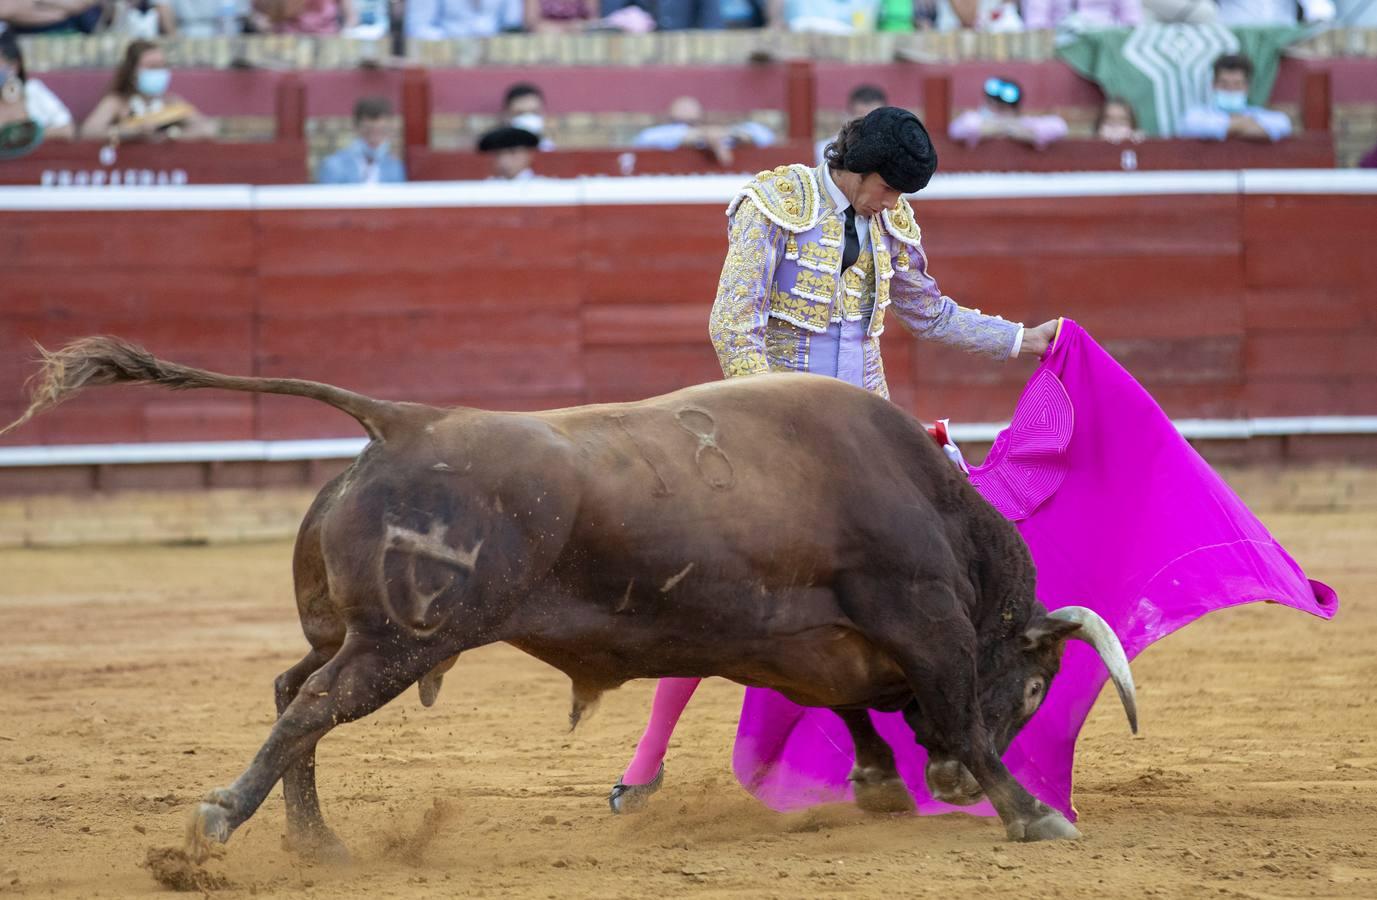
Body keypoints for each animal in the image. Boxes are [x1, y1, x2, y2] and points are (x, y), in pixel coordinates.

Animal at [0, 338, 1134, 858]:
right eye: (1038, 688)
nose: (938, 778)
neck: (931, 504)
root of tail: (404, 422)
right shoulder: (925, 619)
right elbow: (951, 708)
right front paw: (1031, 813)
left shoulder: (808, 639)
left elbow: (847, 702)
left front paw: (882, 782)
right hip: (403, 642)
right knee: (314, 705)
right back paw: (224, 819)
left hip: (352, 631)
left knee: (292, 691)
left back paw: (314, 841)